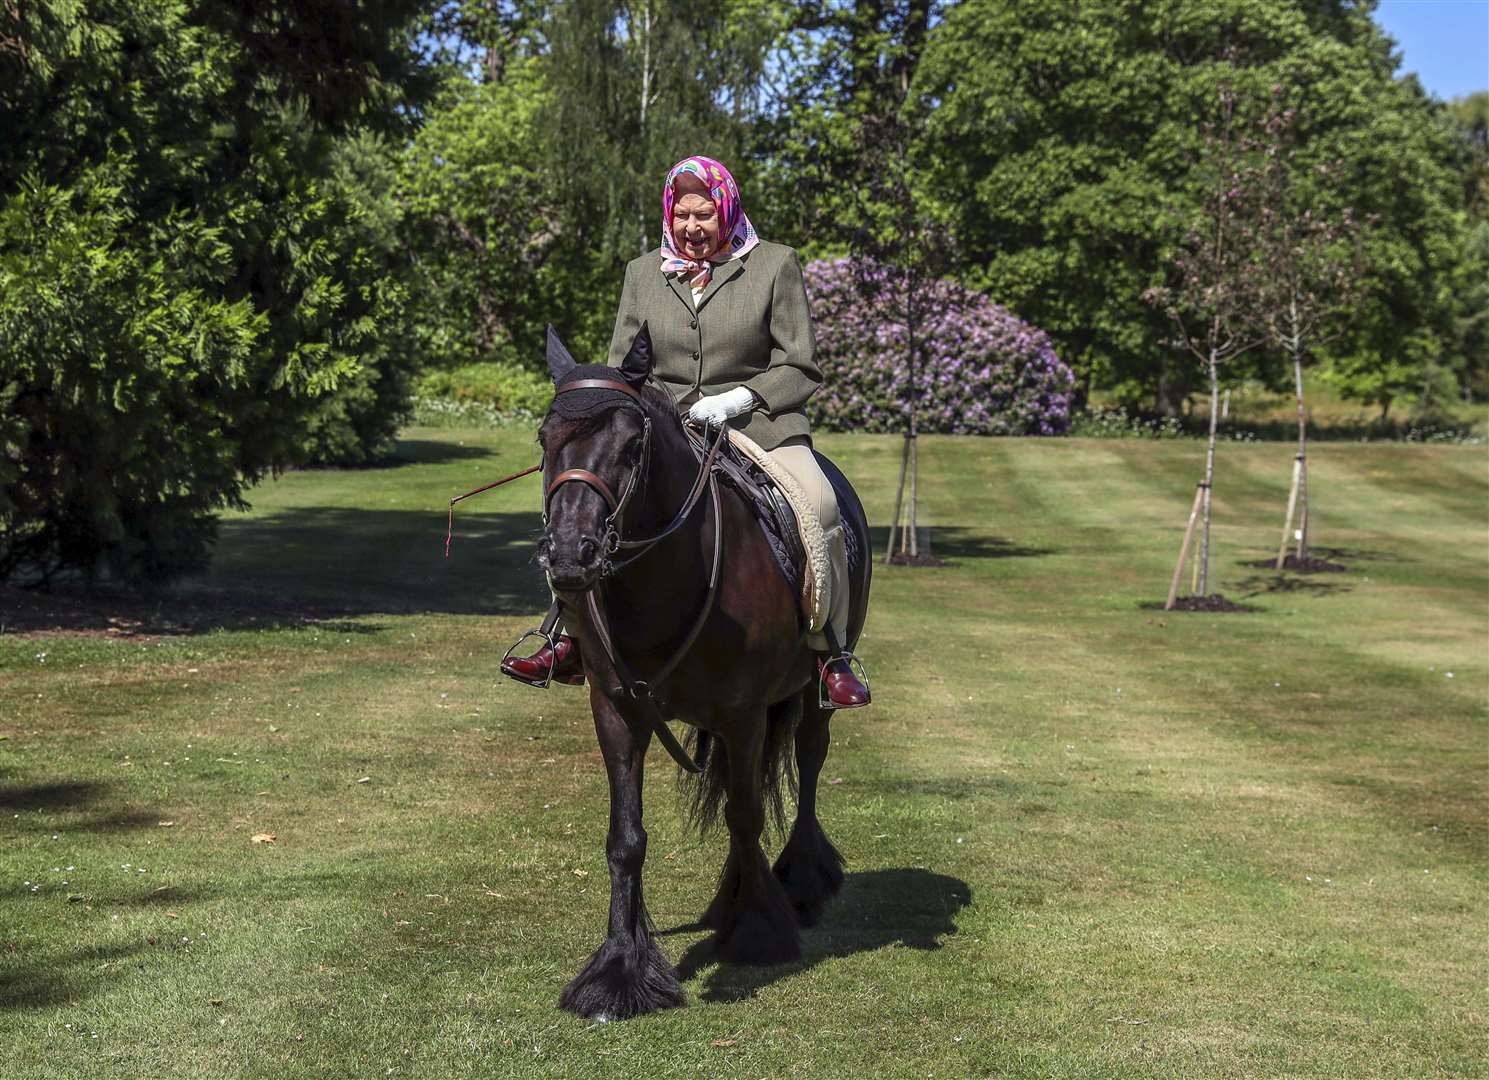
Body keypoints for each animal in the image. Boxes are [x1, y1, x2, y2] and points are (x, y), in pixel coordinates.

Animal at [536, 324, 869, 1012]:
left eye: (632, 444)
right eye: (544, 439)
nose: (571, 554)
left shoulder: (743, 713)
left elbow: (746, 816)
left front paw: (759, 930)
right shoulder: (617, 709)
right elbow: (626, 838)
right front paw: (620, 968)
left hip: (812, 692)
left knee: (808, 765)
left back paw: (800, 879)